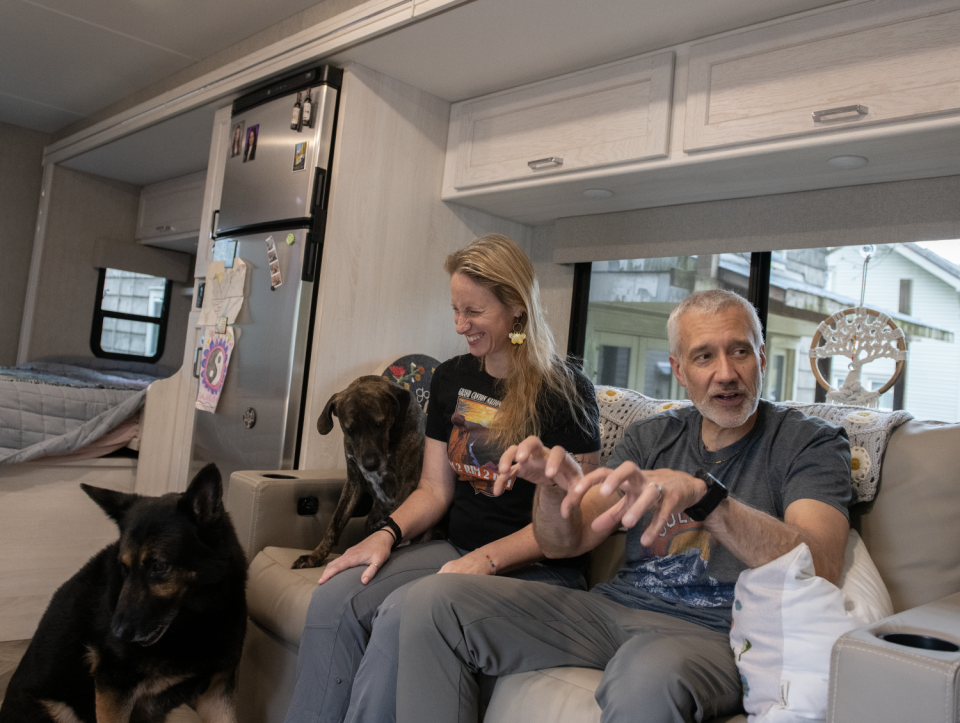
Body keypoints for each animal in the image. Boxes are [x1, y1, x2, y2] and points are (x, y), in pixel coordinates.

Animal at [290, 376, 430, 568]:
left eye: (379, 424)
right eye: (350, 430)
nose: (370, 464)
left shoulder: (407, 481)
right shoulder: (354, 480)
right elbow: (335, 522)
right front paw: (315, 556)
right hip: (371, 519)